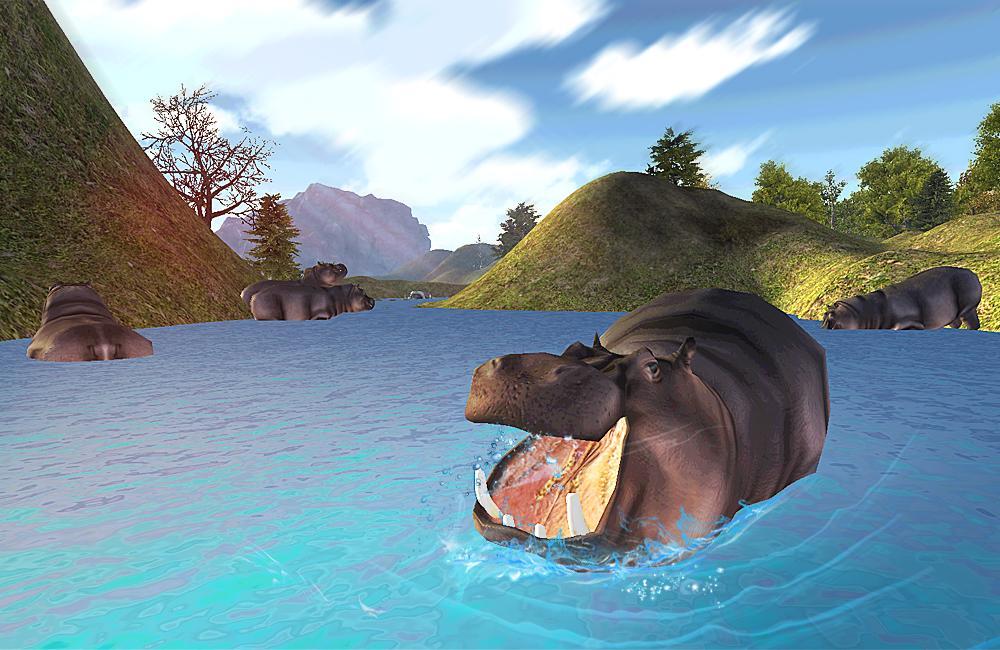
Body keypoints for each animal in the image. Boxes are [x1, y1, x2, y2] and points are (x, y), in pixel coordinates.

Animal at [821, 266, 982, 330]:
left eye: (831, 315)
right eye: (824, 315)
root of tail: (972, 273)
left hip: (968, 307)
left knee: (972, 323)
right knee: (958, 322)